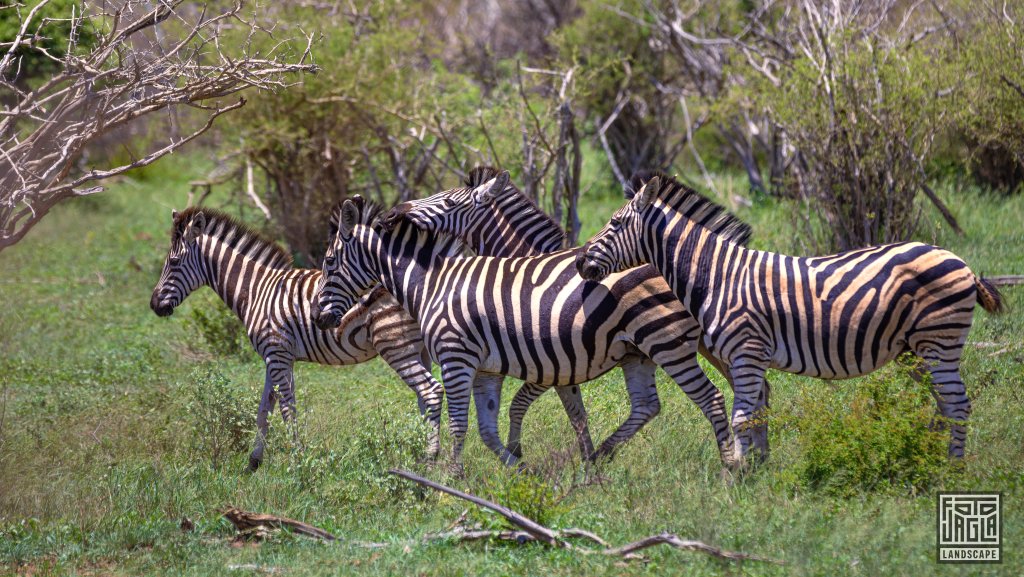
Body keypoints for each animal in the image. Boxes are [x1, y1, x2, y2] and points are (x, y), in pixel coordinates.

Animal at [149, 204, 444, 471]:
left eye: (173, 263)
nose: (154, 305)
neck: (257, 290)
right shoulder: (275, 356)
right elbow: (264, 410)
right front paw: (254, 463)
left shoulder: (277, 353)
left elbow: (287, 409)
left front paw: (298, 459)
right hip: (418, 350)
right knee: (423, 397)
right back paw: (420, 453)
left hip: (395, 344)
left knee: (429, 391)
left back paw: (430, 460)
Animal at [307, 191, 749, 471]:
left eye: (328, 262)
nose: (318, 317)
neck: (434, 282)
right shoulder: (486, 368)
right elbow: (487, 429)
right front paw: (519, 469)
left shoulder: (456, 358)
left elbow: (460, 423)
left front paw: (450, 478)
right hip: (638, 351)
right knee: (648, 406)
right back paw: (601, 459)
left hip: (666, 341)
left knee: (710, 398)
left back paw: (731, 465)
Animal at [577, 173, 1007, 465]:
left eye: (615, 223)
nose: (580, 262)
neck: (717, 276)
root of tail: (959, 261)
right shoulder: (745, 359)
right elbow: (754, 414)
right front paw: (753, 471)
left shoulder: (747, 352)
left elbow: (742, 418)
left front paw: (737, 479)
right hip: (913, 350)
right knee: (943, 403)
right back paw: (930, 461)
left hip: (939, 342)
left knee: (957, 404)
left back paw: (951, 469)